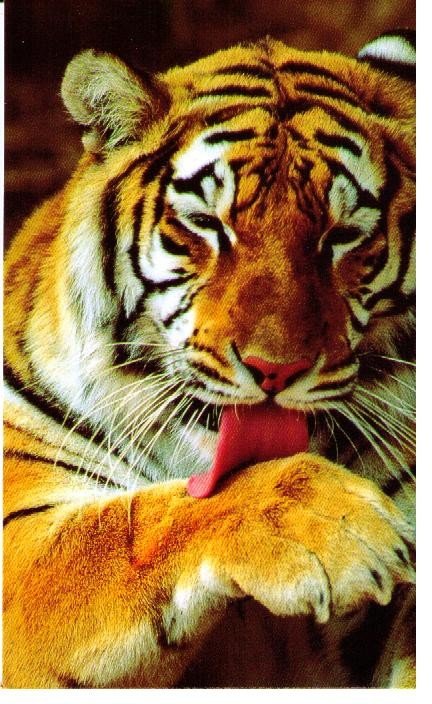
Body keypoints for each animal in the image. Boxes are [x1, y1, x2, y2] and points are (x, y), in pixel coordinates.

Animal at [3, 30, 415, 688]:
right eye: (206, 223)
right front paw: (332, 523)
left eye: (342, 236)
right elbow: (137, 522)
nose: (276, 369)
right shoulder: (21, 539)